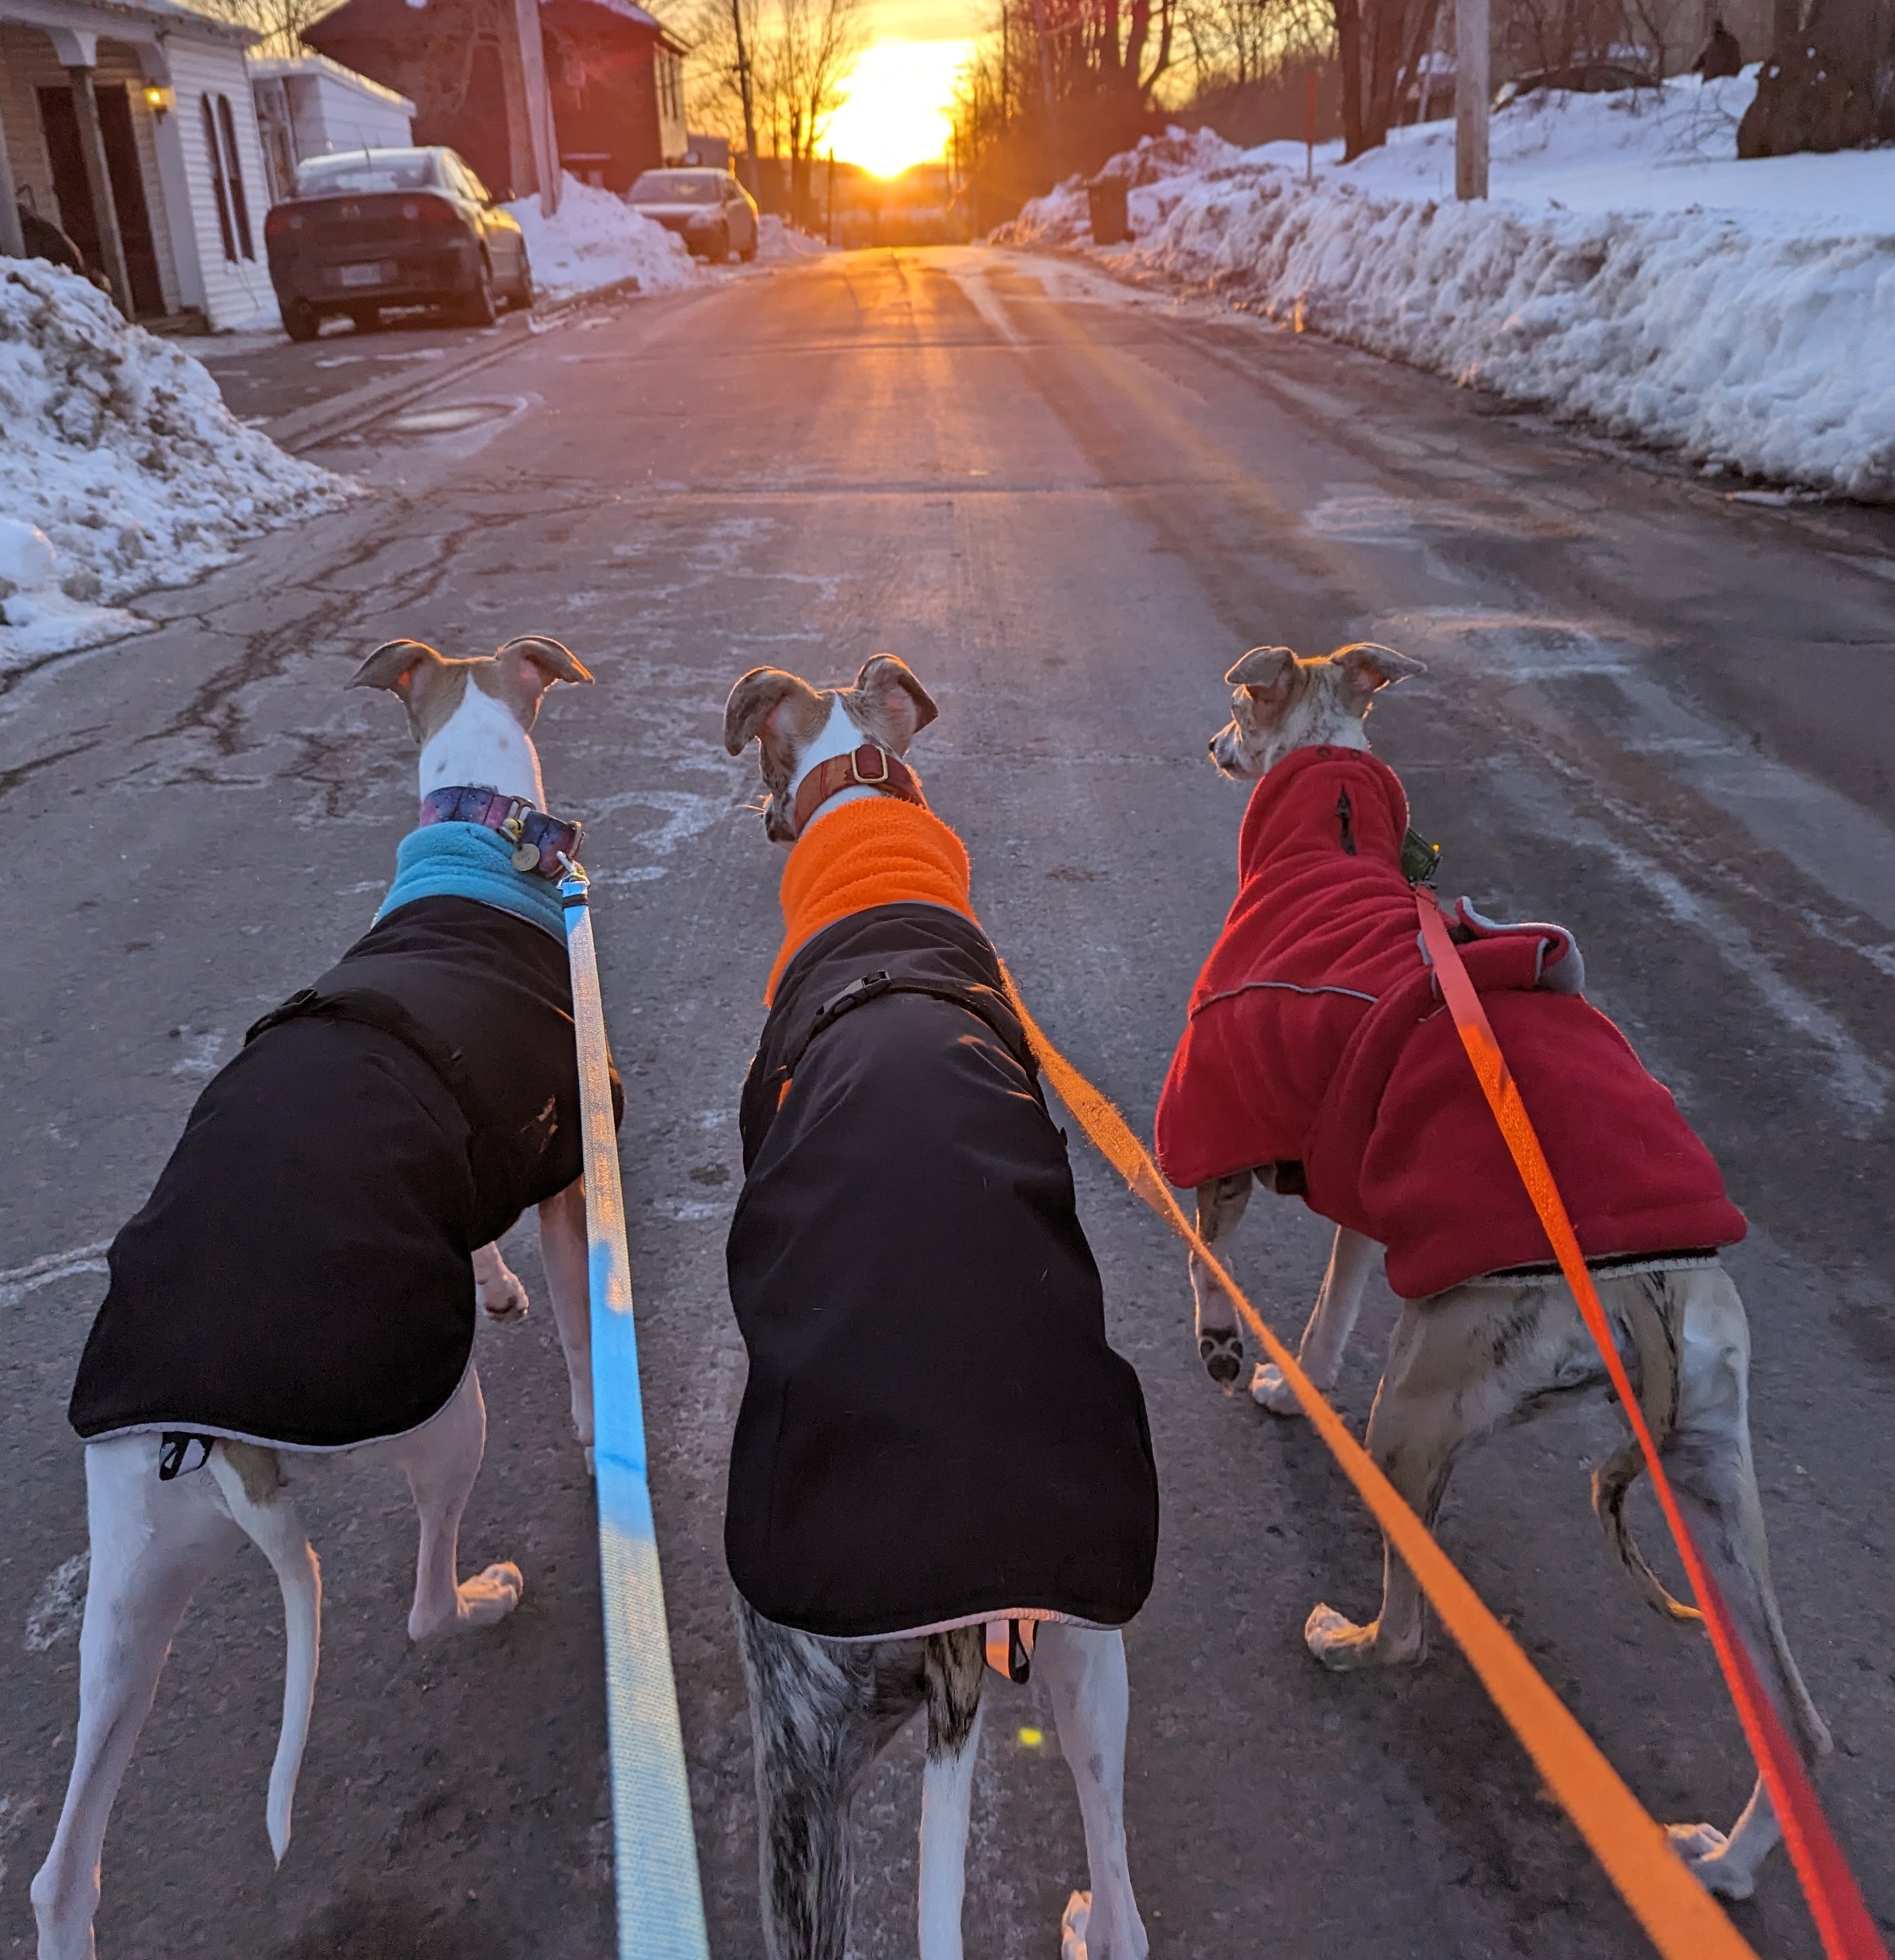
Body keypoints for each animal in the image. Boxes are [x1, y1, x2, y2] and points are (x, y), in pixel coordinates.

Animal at [1152, 643, 1834, 1897]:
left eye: (1237, 703)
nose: (1210, 745)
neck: (1330, 833)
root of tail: (1644, 1289)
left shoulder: (1223, 1115)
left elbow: (1205, 1247)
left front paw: (1225, 1346)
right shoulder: (1365, 1177)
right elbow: (1329, 1310)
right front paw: (1286, 1386)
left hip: (1420, 1405)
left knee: (1414, 1629)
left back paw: (1348, 1640)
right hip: (1713, 1470)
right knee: (1800, 1728)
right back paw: (1724, 1864)